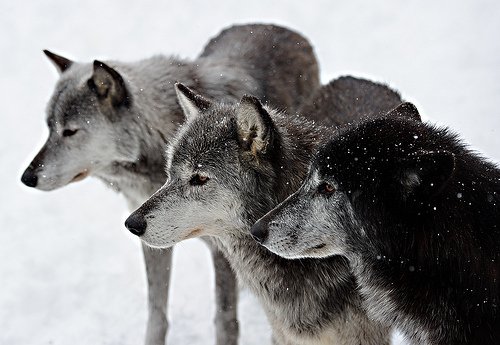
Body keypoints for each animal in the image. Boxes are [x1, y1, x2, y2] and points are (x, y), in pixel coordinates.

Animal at [20, 24, 320, 344]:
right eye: (49, 128)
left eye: (70, 131)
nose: (27, 177)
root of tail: (279, 27)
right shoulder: (151, 239)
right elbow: (156, 314)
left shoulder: (220, 251)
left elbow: (224, 319)